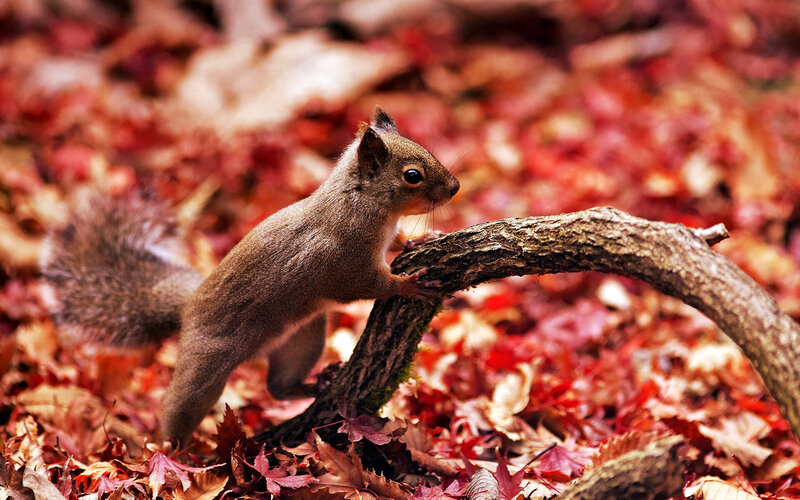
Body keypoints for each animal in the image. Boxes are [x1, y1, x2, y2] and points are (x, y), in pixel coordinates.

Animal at [41, 108, 460, 445]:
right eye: (412, 175)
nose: (455, 187)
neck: (361, 203)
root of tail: (187, 310)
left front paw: (423, 237)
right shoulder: (342, 261)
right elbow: (365, 286)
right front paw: (408, 284)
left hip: (302, 338)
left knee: (278, 386)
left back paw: (316, 383)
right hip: (205, 365)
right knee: (179, 405)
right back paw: (173, 453)